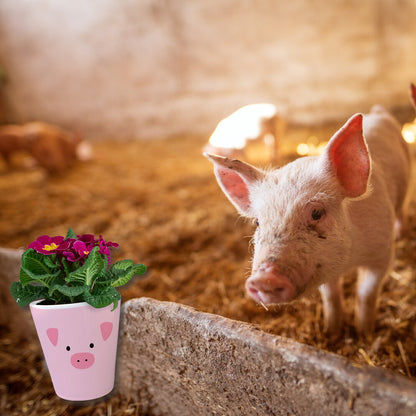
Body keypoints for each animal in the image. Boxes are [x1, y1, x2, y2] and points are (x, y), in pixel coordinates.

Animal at [205, 105, 410, 340]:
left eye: (317, 213)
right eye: (257, 222)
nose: (265, 279)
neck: (350, 260)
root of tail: (377, 111)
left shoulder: (382, 254)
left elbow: (365, 294)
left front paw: (365, 334)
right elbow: (331, 297)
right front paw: (332, 332)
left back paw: (401, 234)